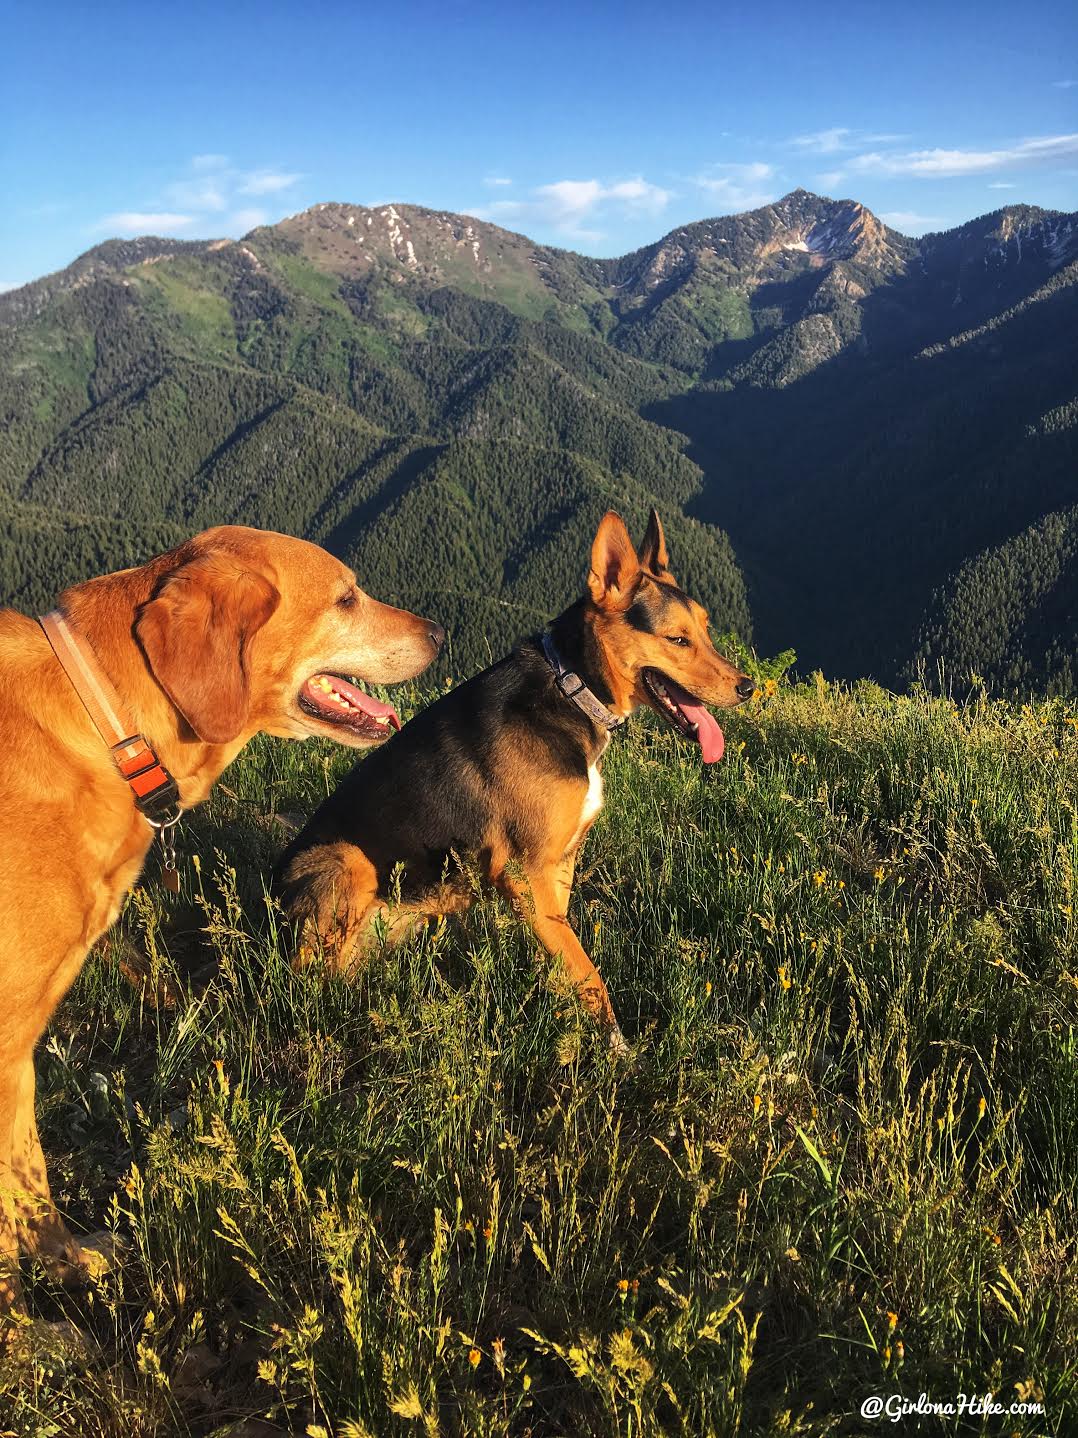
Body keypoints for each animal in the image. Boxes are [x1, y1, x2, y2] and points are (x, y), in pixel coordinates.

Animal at [274, 511, 753, 1052]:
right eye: (677, 640)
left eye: (707, 631)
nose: (748, 687)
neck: (573, 691)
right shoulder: (527, 871)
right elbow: (586, 970)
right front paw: (615, 1047)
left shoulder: (558, 863)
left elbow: (564, 951)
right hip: (346, 860)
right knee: (314, 976)